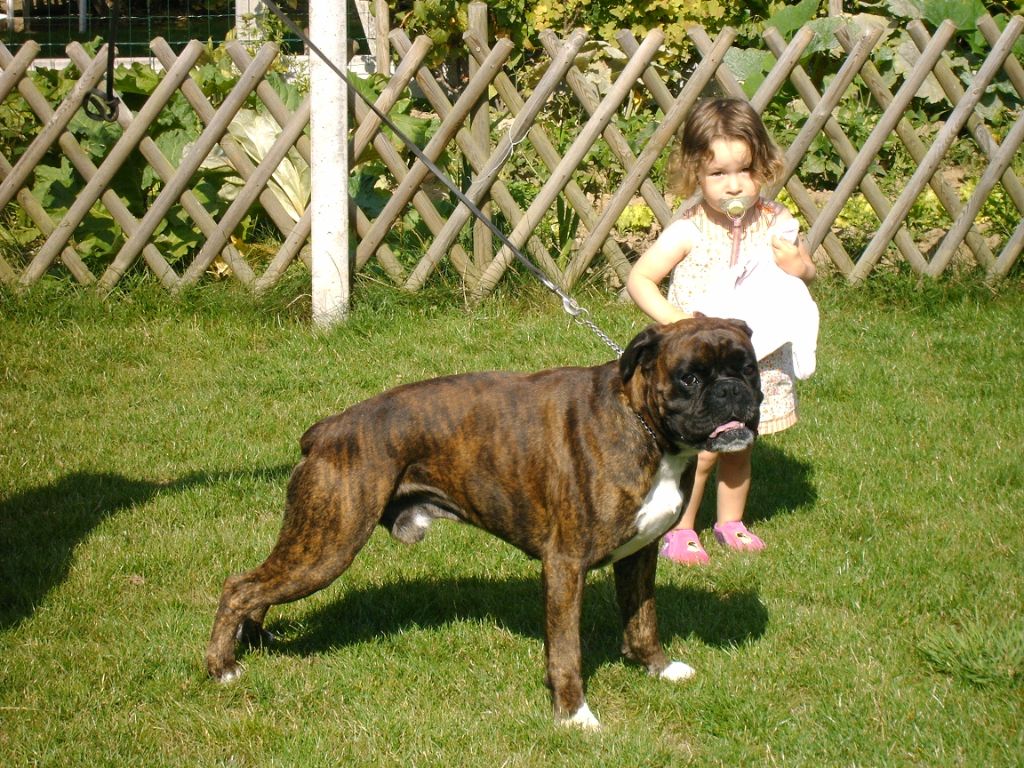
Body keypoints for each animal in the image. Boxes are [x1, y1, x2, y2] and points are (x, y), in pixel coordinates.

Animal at [205, 315, 761, 729]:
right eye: (690, 377)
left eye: (749, 369)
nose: (732, 392)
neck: (642, 424)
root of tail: (327, 430)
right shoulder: (565, 566)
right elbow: (567, 651)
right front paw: (574, 715)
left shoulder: (640, 555)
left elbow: (643, 620)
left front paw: (657, 668)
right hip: (329, 544)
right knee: (239, 587)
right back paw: (223, 667)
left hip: (313, 542)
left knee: (258, 588)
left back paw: (253, 642)